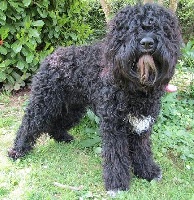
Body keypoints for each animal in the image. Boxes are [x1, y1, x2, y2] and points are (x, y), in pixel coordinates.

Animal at [8, 3, 182, 194]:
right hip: (43, 102)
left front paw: (148, 171)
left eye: (160, 28)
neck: (134, 88)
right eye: (131, 29)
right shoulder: (113, 126)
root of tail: (53, 55)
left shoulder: (141, 125)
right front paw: (117, 183)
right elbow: (115, 155)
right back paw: (17, 151)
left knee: (55, 124)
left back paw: (62, 137)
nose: (147, 43)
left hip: (73, 108)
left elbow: (142, 150)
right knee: (28, 125)